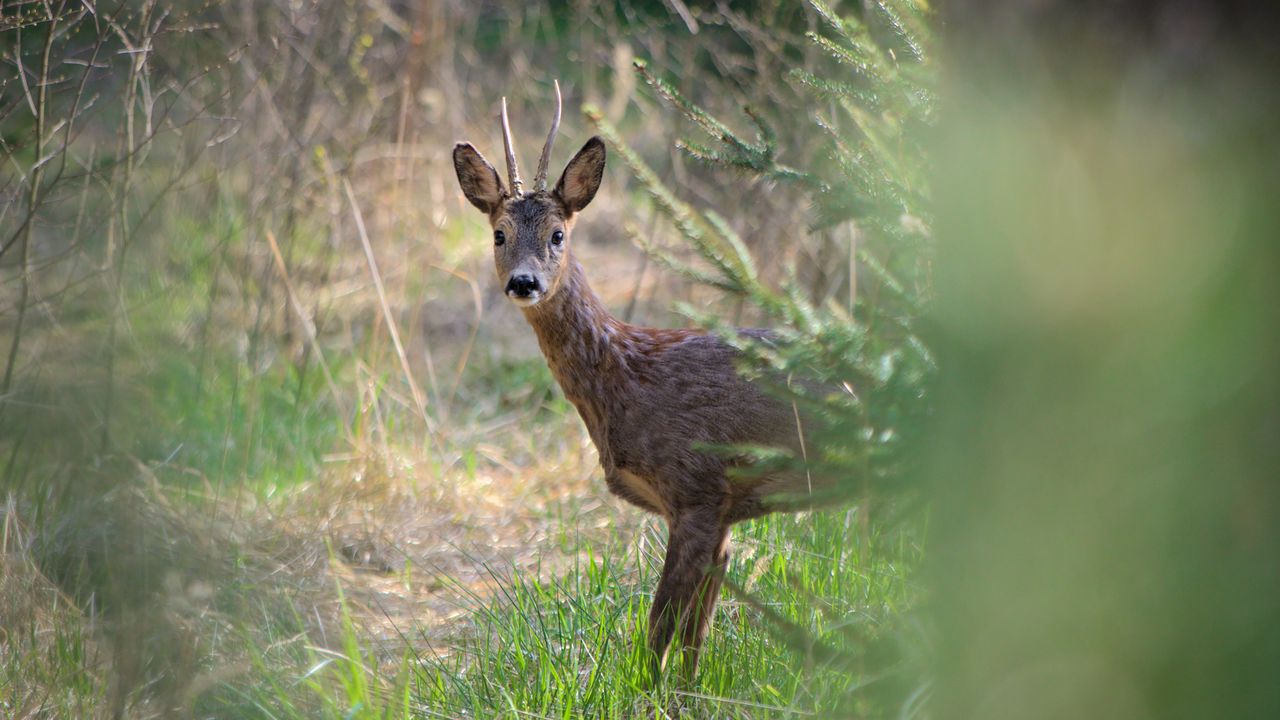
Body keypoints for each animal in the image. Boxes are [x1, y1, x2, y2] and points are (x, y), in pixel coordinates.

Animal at [455, 82, 824, 676]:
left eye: (558, 233)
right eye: (498, 234)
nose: (524, 282)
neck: (626, 376)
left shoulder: (696, 489)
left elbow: (660, 630)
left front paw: (651, 691)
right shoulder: (720, 514)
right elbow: (695, 635)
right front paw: (691, 691)